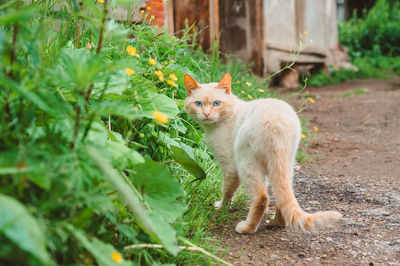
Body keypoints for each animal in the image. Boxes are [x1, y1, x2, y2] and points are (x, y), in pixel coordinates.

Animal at [183, 72, 342, 233]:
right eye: (198, 104)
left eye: (216, 103)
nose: (206, 114)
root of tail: (277, 124)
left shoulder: (230, 167)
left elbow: (227, 190)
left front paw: (222, 206)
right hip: (285, 164)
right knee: (282, 195)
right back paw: (276, 223)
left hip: (246, 162)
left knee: (262, 198)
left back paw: (246, 228)